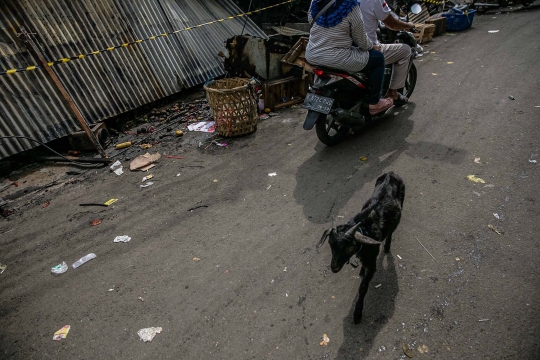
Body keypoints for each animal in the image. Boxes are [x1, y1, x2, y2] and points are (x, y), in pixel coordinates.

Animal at [316, 172, 404, 324]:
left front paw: (357, 313)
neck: (364, 229)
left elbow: (363, 287)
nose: (334, 268)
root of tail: (391, 174)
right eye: (331, 245)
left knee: (392, 230)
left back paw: (387, 246)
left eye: (349, 248)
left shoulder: (372, 263)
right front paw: (361, 270)